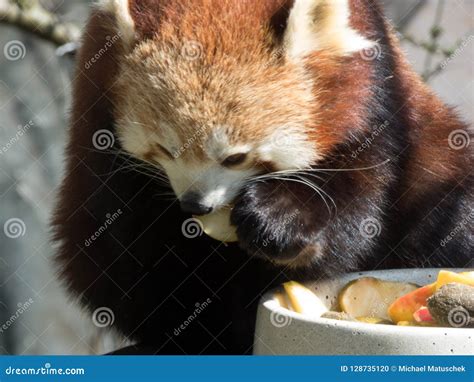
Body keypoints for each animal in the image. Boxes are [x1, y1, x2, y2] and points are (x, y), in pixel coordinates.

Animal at [53, 0, 472, 354]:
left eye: (236, 157)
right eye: (166, 150)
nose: (195, 203)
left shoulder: (375, 91)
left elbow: (356, 200)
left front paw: (278, 222)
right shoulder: (95, 100)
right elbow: (121, 235)